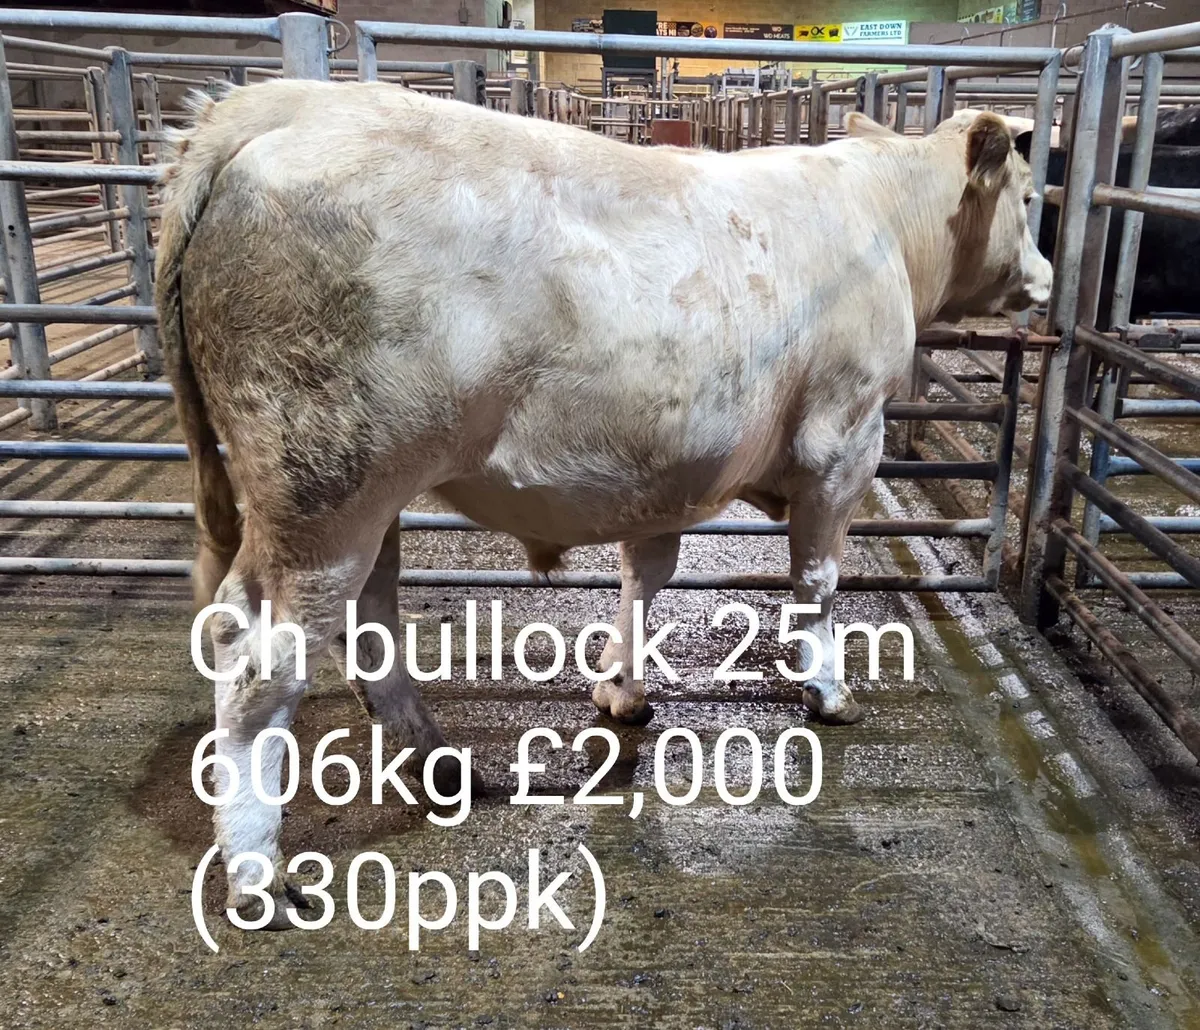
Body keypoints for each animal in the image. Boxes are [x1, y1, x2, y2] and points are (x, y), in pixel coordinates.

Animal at [157, 82, 1051, 925]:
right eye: (1030, 193)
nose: (1043, 278)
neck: (885, 217)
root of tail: (282, 103)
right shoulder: (843, 441)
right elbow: (818, 581)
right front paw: (828, 691)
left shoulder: (666, 470)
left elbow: (643, 575)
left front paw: (622, 689)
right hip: (327, 492)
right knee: (258, 656)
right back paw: (259, 872)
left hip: (361, 501)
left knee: (365, 624)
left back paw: (440, 765)